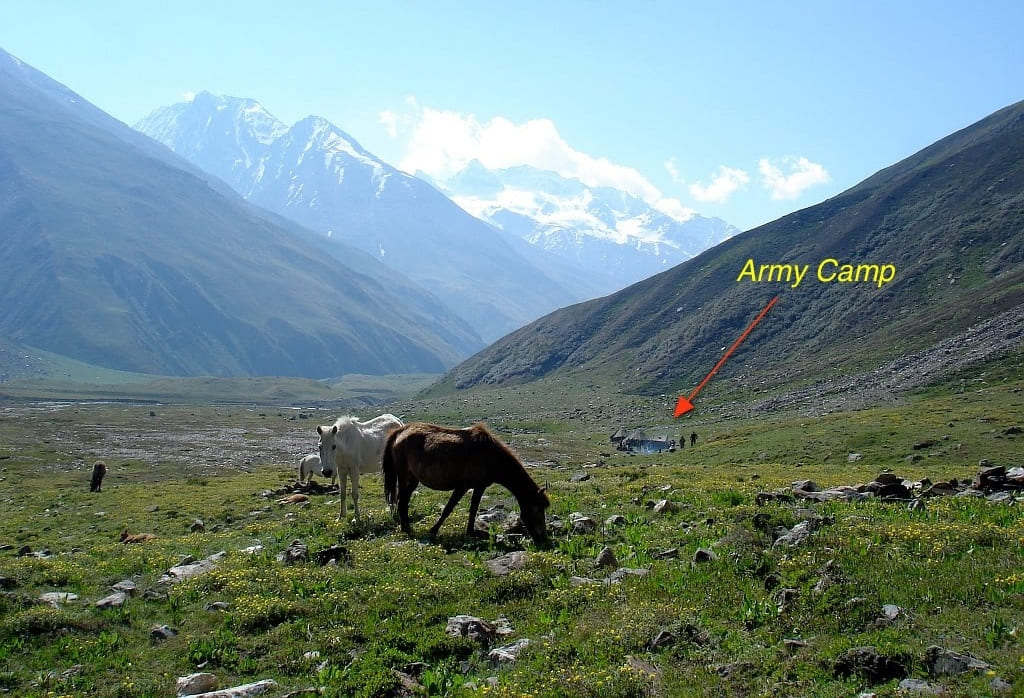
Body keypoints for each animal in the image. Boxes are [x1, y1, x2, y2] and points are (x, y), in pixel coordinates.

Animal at [382, 422, 550, 546]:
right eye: (537, 509)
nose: (543, 539)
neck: (490, 456)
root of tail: (400, 431)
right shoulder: (462, 487)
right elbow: (448, 509)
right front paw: (433, 530)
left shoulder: (480, 486)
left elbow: (473, 509)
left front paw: (471, 532)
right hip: (403, 476)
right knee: (402, 501)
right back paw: (406, 529)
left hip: (413, 479)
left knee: (404, 500)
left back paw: (406, 526)